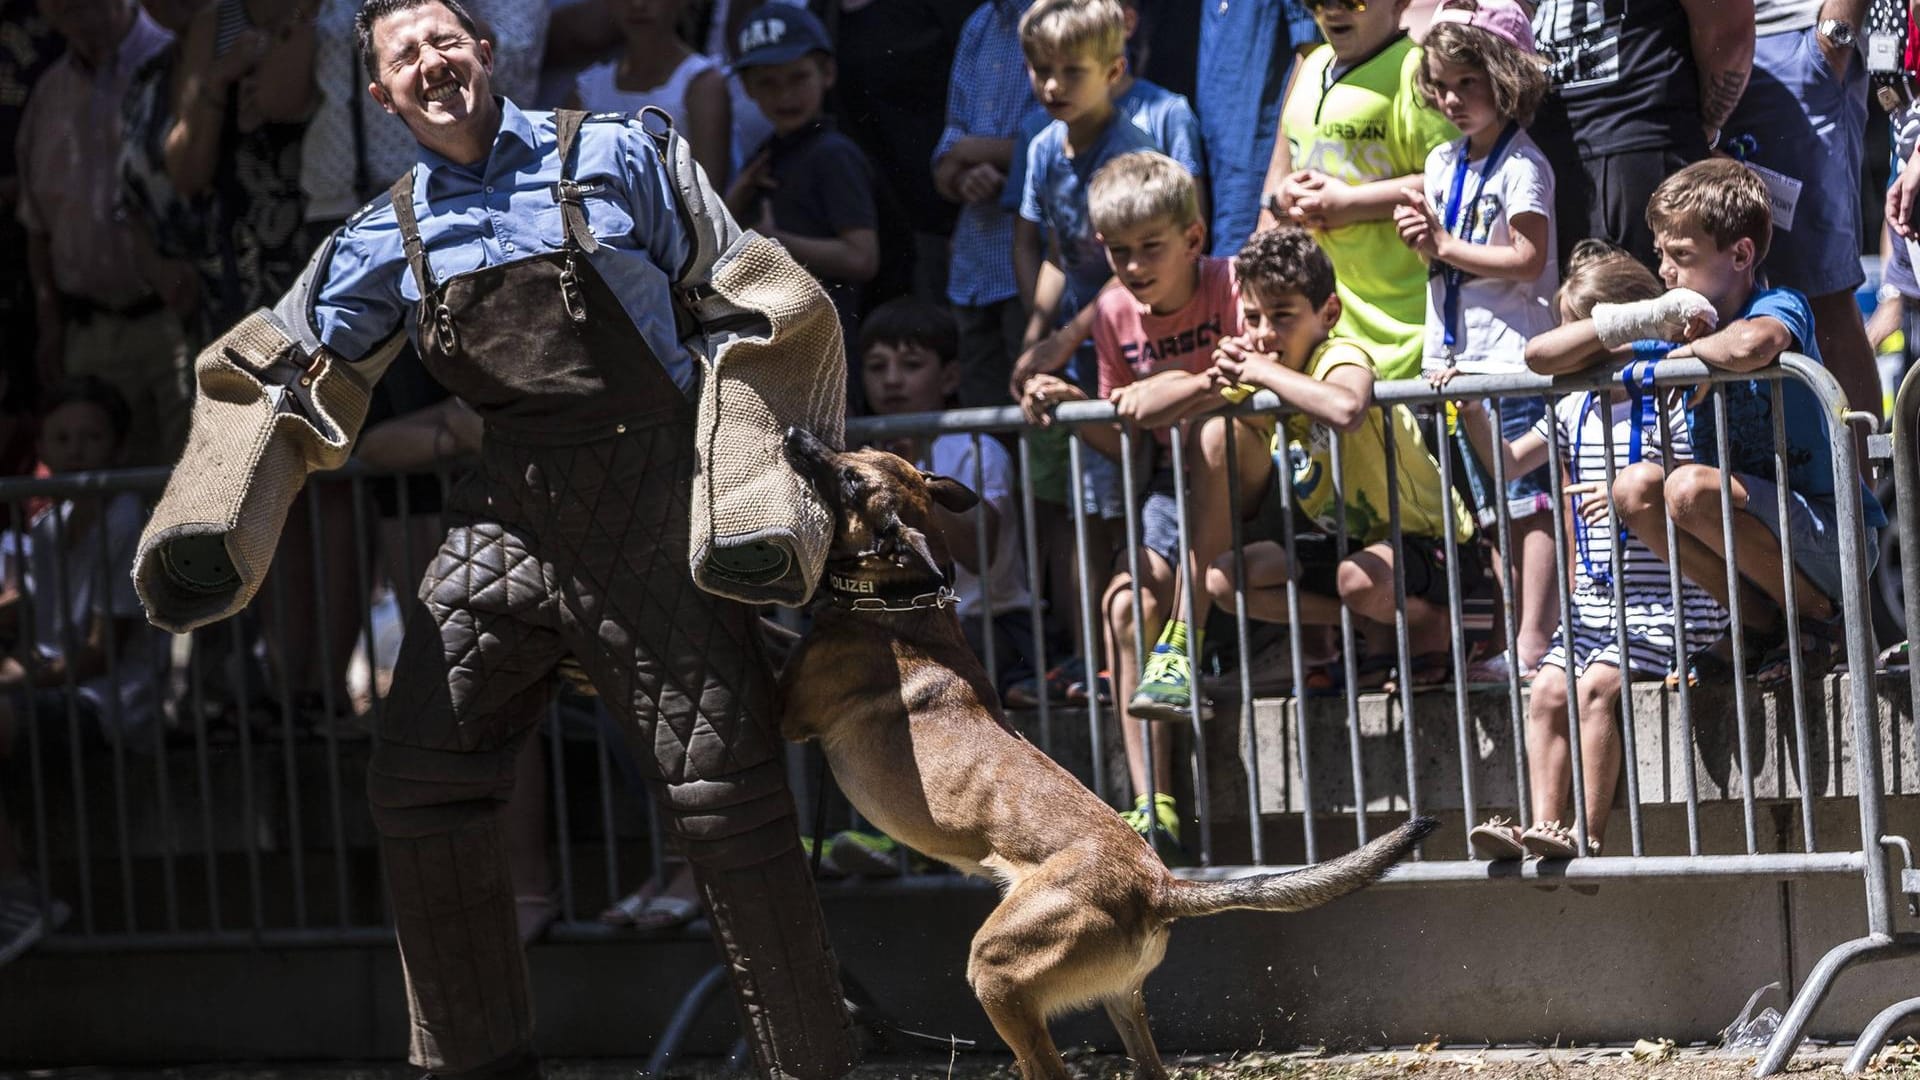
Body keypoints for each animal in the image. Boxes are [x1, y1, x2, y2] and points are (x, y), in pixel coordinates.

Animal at [779, 428, 1443, 1076]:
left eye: (850, 478)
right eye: (857, 453)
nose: (796, 434)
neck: (900, 601)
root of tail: (1160, 885)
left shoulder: (792, 711)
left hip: (996, 973)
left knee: (1047, 1068)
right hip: (1119, 1000)